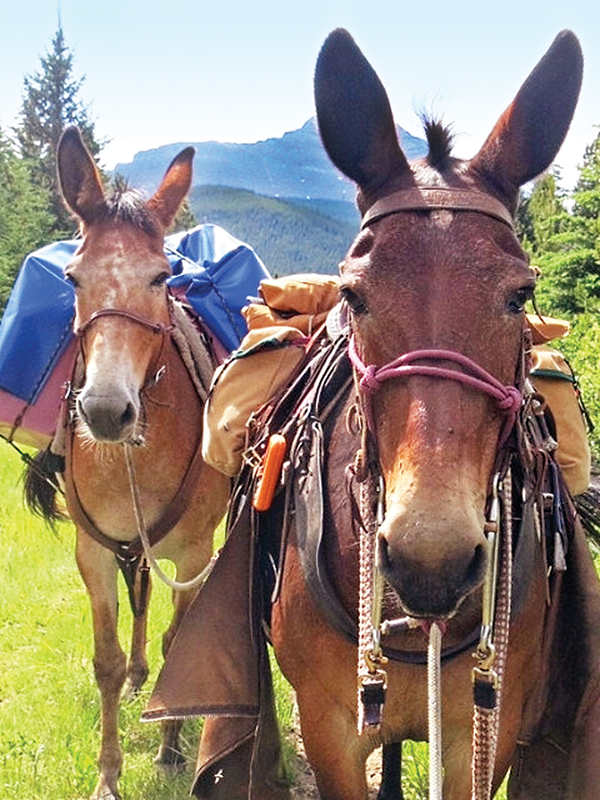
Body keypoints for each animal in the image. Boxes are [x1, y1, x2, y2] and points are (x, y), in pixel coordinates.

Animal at [24, 128, 230, 800]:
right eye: (72, 276)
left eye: (162, 276)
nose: (106, 411)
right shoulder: (91, 550)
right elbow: (107, 661)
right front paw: (109, 773)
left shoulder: (193, 553)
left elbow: (177, 641)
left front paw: (169, 746)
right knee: (137, 591)